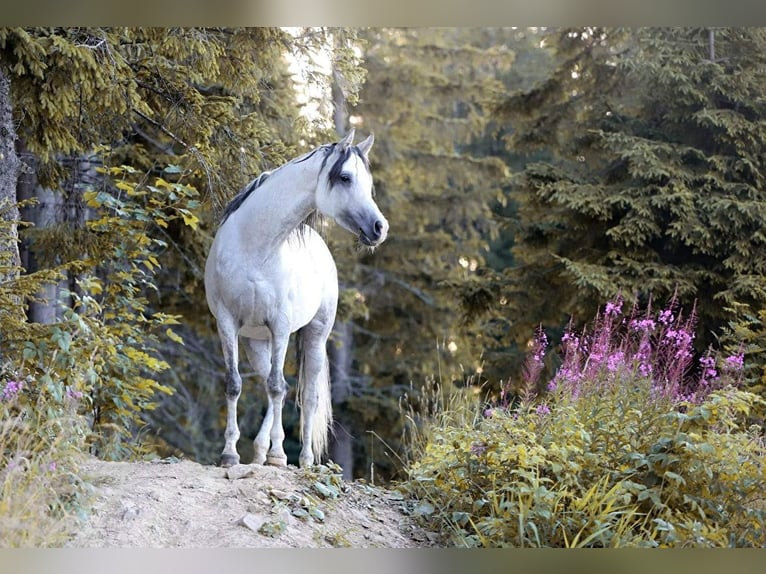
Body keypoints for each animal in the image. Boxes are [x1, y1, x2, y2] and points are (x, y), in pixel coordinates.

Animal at [204, 132, 388, 472]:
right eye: (345, 177)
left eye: (368, 184)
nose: (380, 228)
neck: (256, 247)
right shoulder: (227, 322)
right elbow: (235, 384)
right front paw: (230, 453)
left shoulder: (280, 325)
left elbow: (278, 387)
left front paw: (279, 455)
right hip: (255, 342)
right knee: (274, 385)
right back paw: (260, 451)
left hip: (315, 335)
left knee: (307, 395)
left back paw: (302, 459)